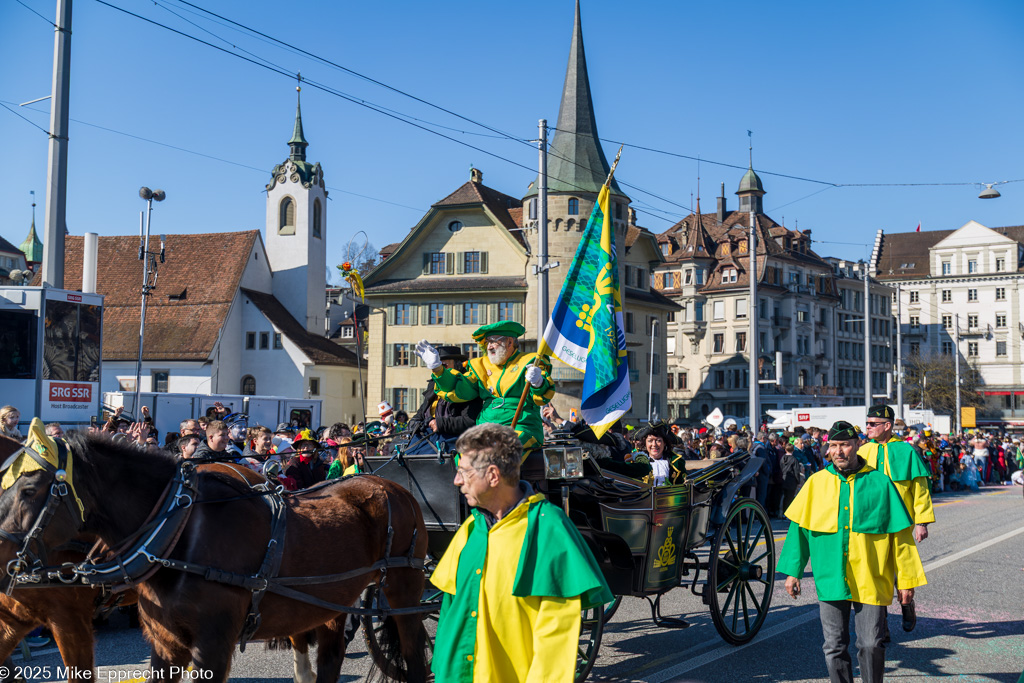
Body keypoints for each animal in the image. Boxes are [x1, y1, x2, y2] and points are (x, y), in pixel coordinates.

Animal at [0, 436, 428, 679]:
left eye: (29, 490)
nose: (1, 556)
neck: (177, 532)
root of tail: (390, 485)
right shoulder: (164, 643)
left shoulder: (212, 644)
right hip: (330, 603)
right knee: (329, 658)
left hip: (403, 592)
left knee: (414, 655)